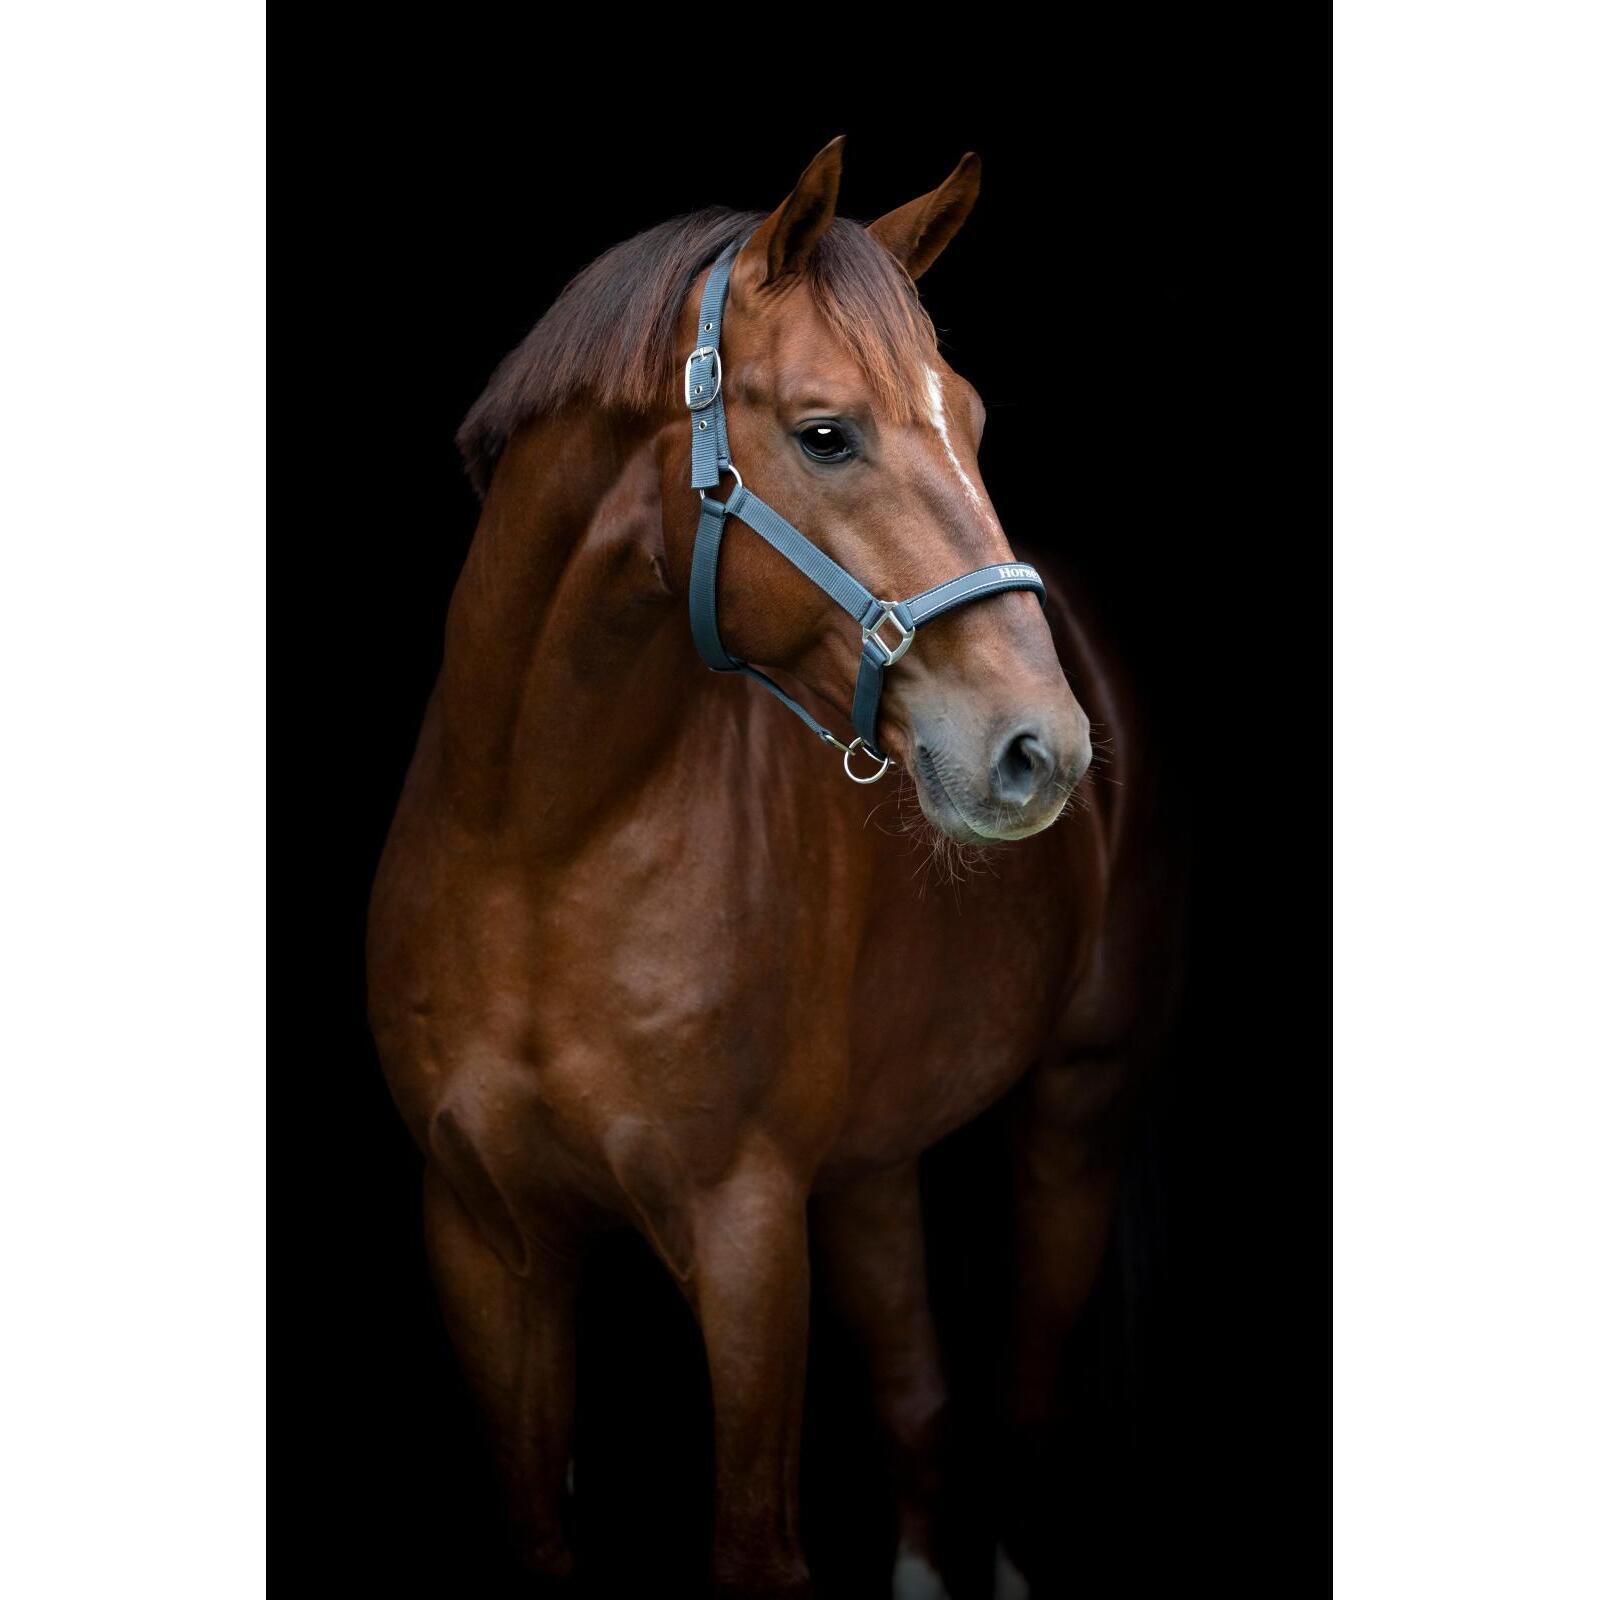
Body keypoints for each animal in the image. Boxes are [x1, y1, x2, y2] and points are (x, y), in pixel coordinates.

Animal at [367, 136, 1181, 1598]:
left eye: (973, 422)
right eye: (825, 433)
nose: (1042, 750)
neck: (537, 849)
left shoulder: (743, 1236)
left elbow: (756, 1542)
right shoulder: (482, 1237)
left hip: (1072, 1117)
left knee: (1016, 1406)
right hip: (870, 1167)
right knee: (918, 1408)